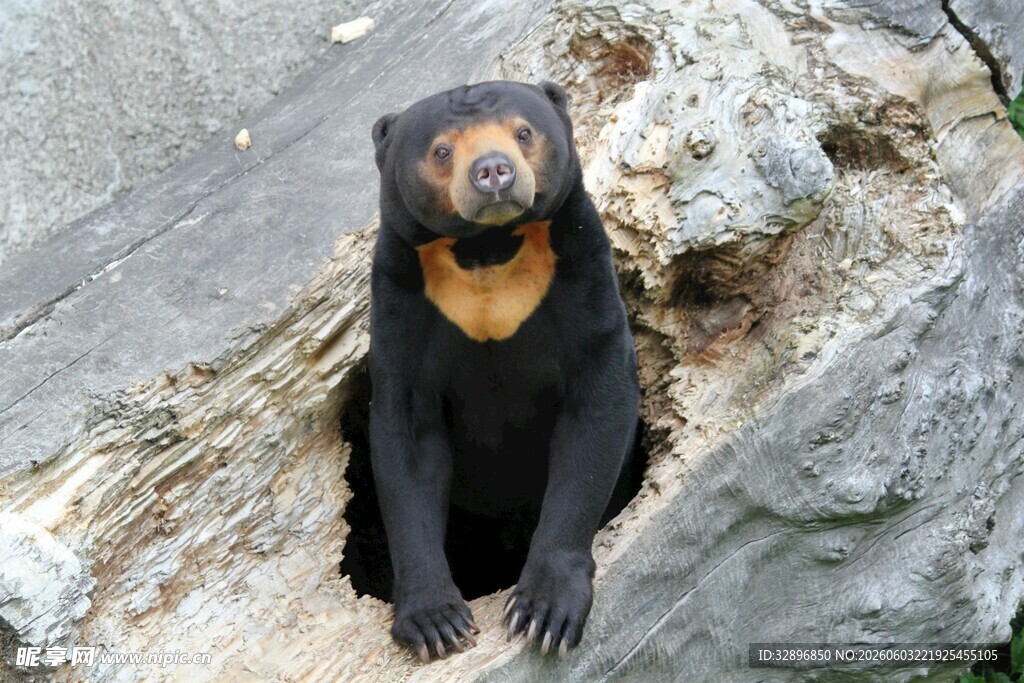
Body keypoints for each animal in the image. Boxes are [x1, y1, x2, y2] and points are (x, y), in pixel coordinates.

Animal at [369, 80, 640, 662]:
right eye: (442, 151)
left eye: (524, 132)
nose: (493, 171)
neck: (487, 250)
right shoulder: (402, 295)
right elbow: (408, 445)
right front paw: (436, 622)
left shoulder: (578, 264)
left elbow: (598, 408)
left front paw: (543, 612)